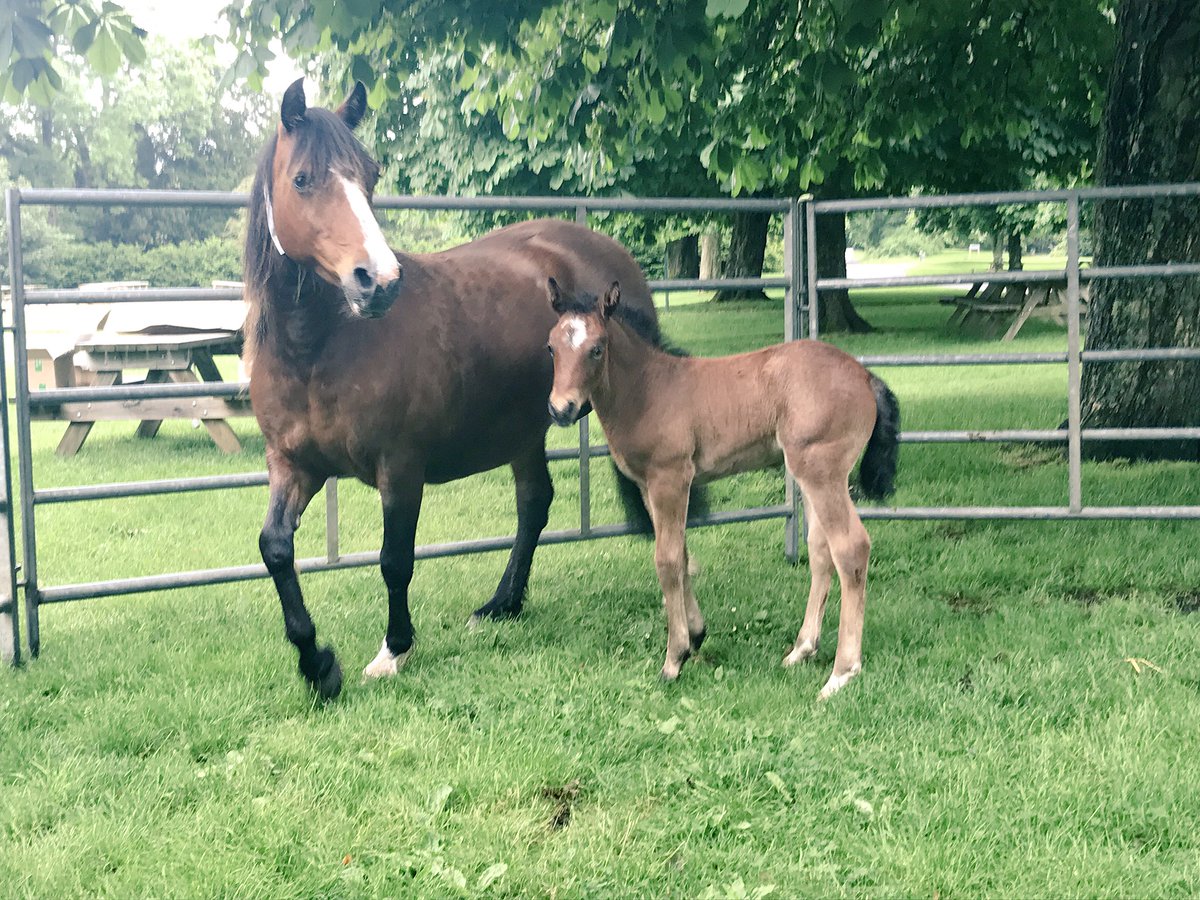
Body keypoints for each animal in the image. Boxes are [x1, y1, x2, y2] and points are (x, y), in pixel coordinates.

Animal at [245, 79, 660, 699]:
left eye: (370, 175)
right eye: (302, 179)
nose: (378, 282)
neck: (317, 349)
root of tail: (608, 254)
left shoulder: (400, 467)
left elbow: (395, 559)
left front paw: (393, 649)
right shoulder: (294, 465)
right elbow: (275, 548)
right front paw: (316, 663)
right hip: (524, 428)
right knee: (534, 504)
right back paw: (502, 604)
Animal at [545, 280, 900, 698]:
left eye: (596, 348)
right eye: (551, 347)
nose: (561, 409)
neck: (648, 390)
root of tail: (864, 375)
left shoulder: (670, 479)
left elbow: (667, 561)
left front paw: (674, 658)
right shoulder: (651, 487)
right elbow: (682, 555)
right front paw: (696, 635)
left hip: (820, 470)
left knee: (850, 547)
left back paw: (842, 672)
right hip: (810, 474)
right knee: (820, 549)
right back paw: (802, 648)